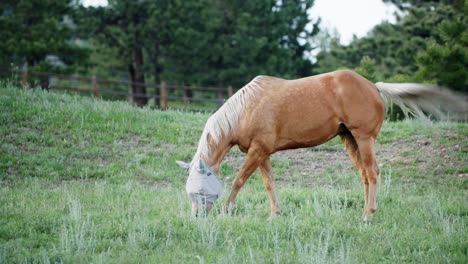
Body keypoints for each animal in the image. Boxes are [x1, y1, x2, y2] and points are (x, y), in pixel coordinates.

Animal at [177, 69, 466, 220]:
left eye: (198, 190)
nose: (196, 216)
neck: (247, 108)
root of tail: (373, 86)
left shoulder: (258, 151)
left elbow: (239, 180)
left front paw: (227, 209)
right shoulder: (262, 153)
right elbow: (269, 183)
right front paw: (275, 213)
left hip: (364, 139)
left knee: (373, 173)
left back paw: (368, 215)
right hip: (350, 139)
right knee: (364, 175)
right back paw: (364, 211)